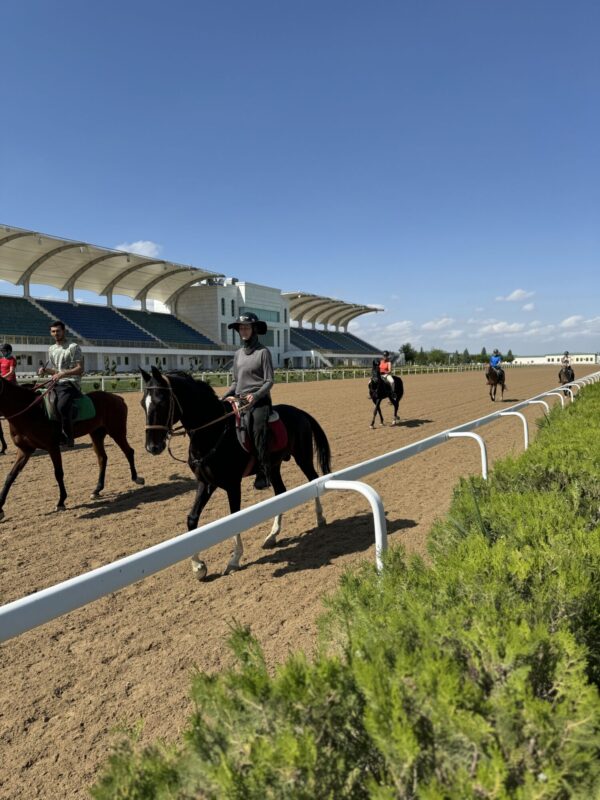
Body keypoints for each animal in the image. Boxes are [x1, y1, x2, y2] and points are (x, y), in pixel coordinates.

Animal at [0, 377, 144, 521]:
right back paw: (97, 490)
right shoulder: (25, 450)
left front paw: (61, 502)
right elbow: (11, 476)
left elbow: (58, 473)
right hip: (97, 434)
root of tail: (117, 398)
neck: (31, 411)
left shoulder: (52, 447)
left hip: (116, 431)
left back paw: (136, 478)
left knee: (129, 452)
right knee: (102, 458)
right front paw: (1, 508)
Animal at [140, 366, 331, 578]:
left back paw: (320, 518)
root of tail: (300, 412)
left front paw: (234, 560)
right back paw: (272, 535)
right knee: (280, 492)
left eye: (161, 401)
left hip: (303, 458)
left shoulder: (232, 485)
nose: (152, 447)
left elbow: (234, 518)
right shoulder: (205, 483)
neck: (213, 432)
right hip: (273, 467)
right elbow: (192, 519)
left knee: (314, 480)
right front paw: (198, 566)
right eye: (142, 404)